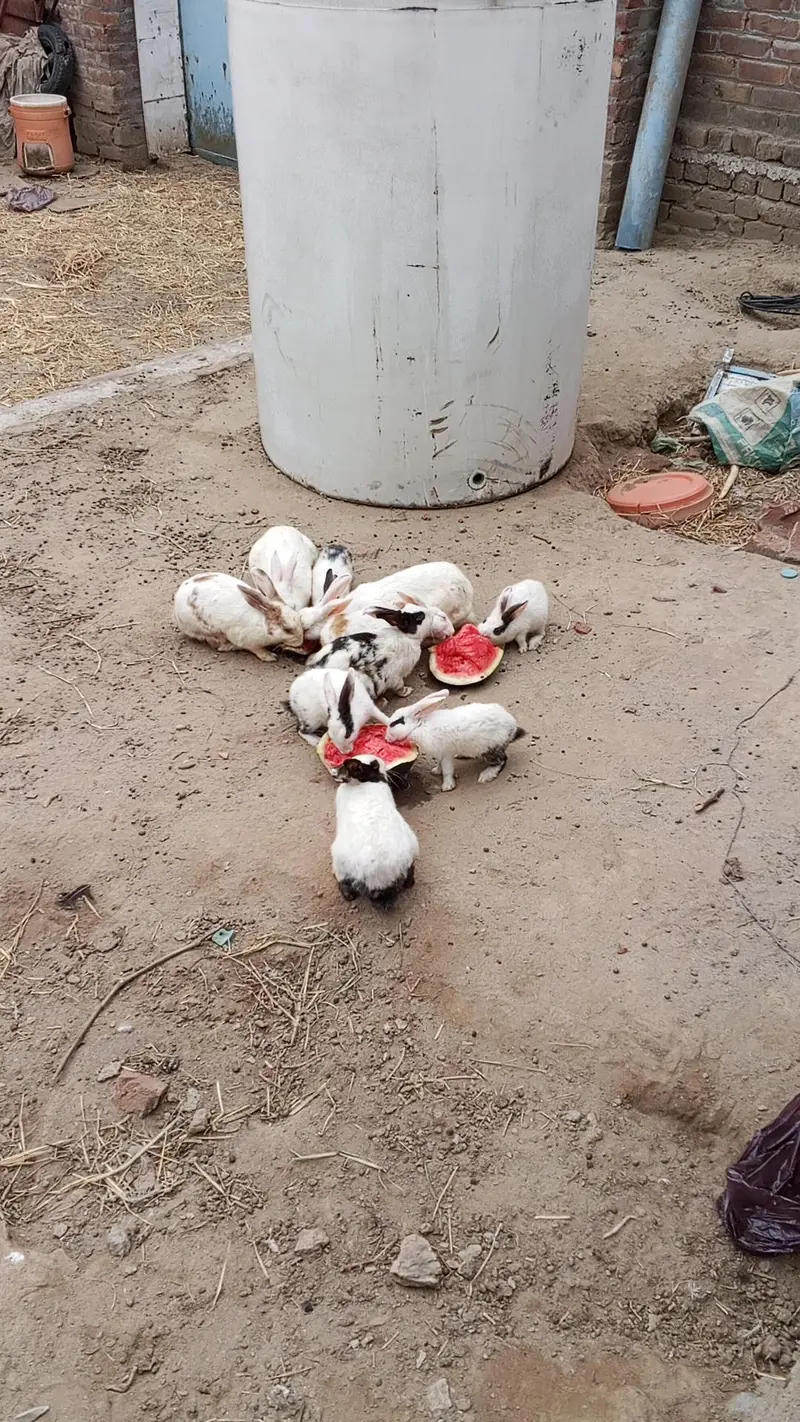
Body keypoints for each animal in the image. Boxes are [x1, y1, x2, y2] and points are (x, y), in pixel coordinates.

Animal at [174, 572, 305, 660]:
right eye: (287, 629)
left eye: (299, 617)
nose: (301, 641)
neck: (263, 623)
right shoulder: (248, 642)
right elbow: (258, 650)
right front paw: (270, 657)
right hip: (210, 630)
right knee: (219, 645)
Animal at [307, 603, 453, 697]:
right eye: (420, 617)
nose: (431, 613)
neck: (405, 636)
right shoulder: (394, 676)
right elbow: (399, 686)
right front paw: (407, 691)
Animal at [331, 756, 418, 905]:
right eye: (375, 765)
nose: (381, 761)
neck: (361, 783)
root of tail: (380, 879)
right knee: (409, 879)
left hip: (338, 859)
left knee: (344, 884)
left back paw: (348, 895)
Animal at [385, 690, 525, 792]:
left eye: (394, 723)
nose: (386, 739)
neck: (419, 726)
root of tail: (512, 727)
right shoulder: (440, 753)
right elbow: (440, 764)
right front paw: (436, 771)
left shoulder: (446, 754)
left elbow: (447, 770)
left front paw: (447, 786)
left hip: (488, 749)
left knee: (502, 760)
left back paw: (486, 775)